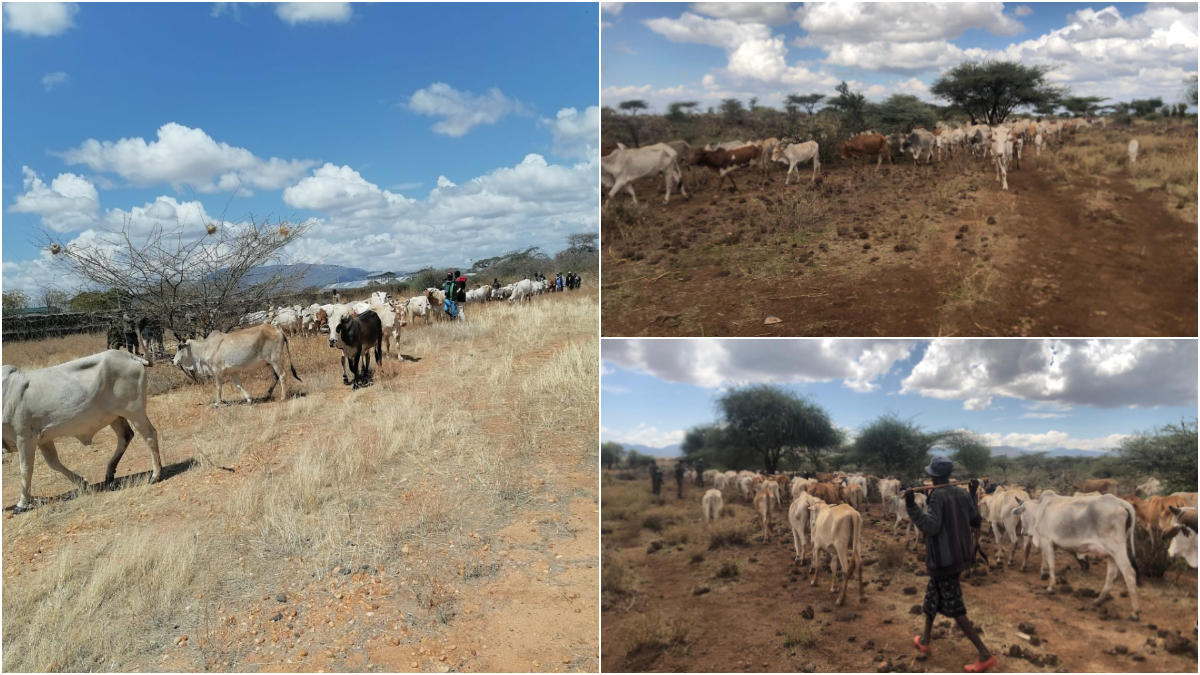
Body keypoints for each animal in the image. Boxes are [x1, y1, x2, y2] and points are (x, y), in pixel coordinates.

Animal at [3, 345, 163, 509]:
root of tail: (130, 356)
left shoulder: (24, 438)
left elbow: (26, 470)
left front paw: (22, 503)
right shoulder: (43, 439)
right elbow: (54, 463)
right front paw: (83, 483)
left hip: (134, 411)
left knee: (150, 435)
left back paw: (155, 475)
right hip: (116, 416)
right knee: (125, 436)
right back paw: (109, 475)